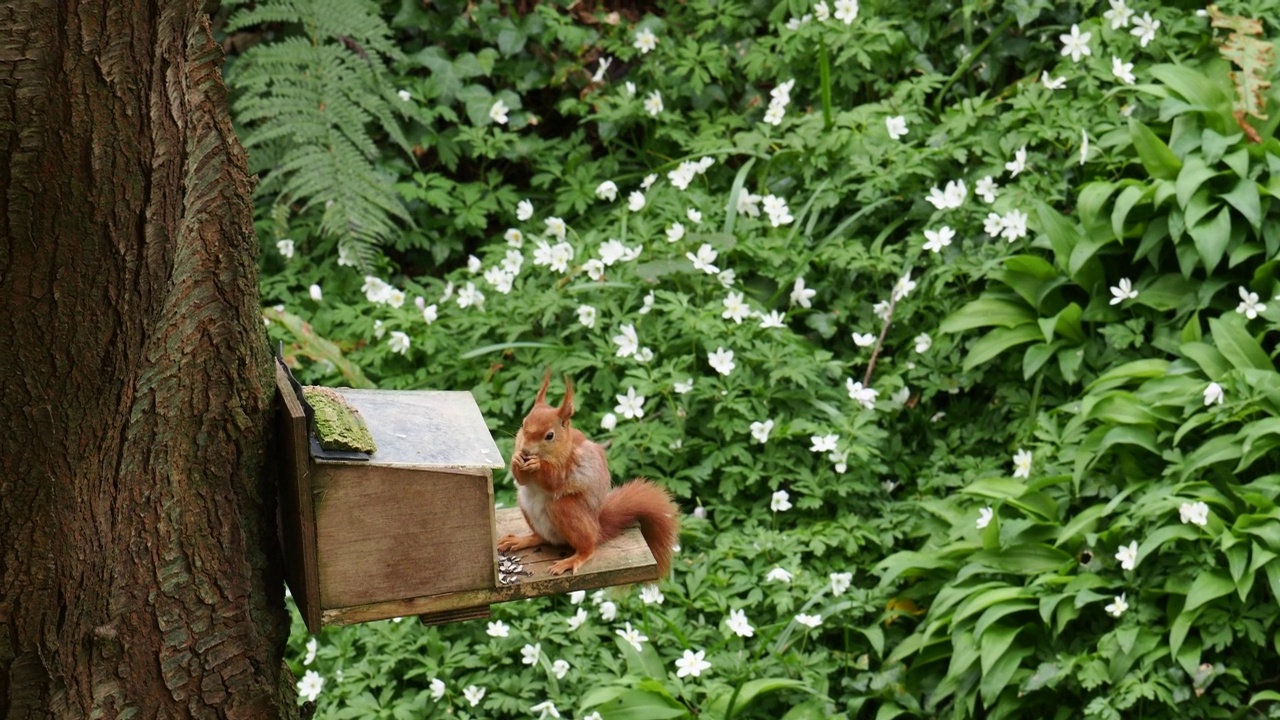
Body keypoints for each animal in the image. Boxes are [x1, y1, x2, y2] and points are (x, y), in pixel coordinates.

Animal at [496, 371, 686, 573]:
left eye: (550, 435)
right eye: (523, 424)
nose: (525, 451)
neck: (563, 447)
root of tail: (597, 527)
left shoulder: (569, 463)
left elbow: (554, 479)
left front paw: (537, 464)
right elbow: (522, 480)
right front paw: (516, 459)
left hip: (567, 510)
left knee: (588, 547)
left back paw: (572, 559)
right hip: (526, 506)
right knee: (543, 538)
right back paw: (521, 540)